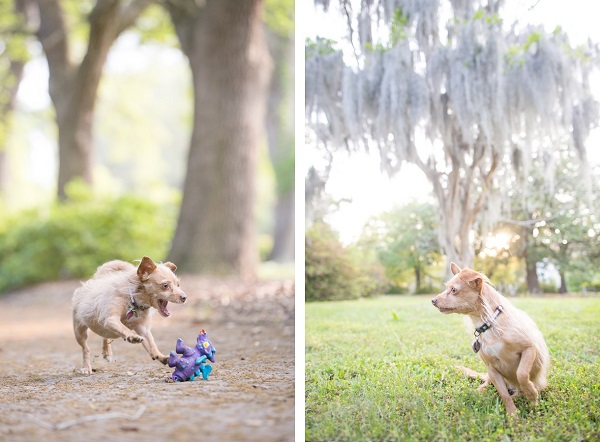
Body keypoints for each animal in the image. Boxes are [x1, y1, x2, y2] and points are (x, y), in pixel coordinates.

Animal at [432, 262, 548, 414]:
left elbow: (521, 373)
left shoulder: (529, 349)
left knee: (518, 390)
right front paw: (512, 414)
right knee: (488, 387)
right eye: (447, 288)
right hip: (490, 377)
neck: (488, 324)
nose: (433, 300)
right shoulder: (492, 368)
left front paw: (531, 394)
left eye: (453, 290)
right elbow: (504, 395)